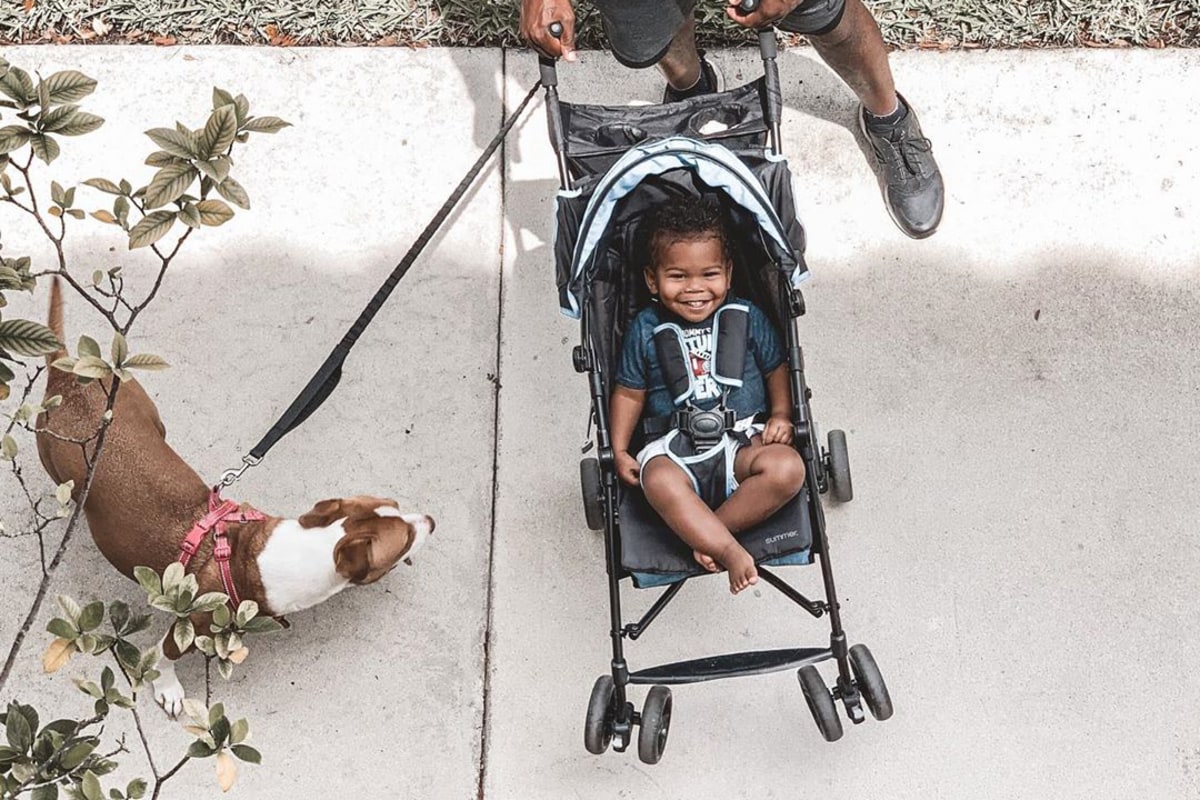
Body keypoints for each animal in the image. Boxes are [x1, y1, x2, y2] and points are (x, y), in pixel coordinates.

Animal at [32, 283, 436, 719]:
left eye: (395, 504)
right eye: (404, 543)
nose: (431, 520)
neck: (272, 555)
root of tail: (66, 378)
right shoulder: (190, 623)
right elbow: (166, 655)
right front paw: (169, 688)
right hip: (58, 463)